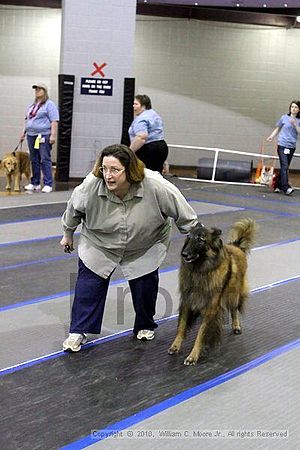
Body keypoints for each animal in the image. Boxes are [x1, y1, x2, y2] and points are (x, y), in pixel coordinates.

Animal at [168, 218, 256, 366]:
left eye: (201, 240)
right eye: (189, 237)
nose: (184, 254)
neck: (201, 270)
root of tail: (236, 246)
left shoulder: (211, 307)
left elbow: (201, 333)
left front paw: (193, 356)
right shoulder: (188, 301)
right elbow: (181, 326)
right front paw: (175, 346)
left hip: (234, 292)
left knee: (234, 309)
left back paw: (236, 326)